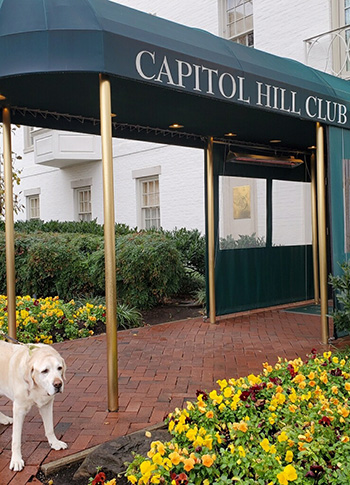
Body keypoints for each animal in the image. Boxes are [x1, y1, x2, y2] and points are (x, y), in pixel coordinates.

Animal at [0, 340, 67, 468]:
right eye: (45, 371)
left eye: (59, 368)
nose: (58, 384)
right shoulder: (19, 409)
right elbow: (16, 440)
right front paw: (16, 460)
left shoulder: (47, 404)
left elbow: (49, 428)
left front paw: (54, 442)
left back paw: (4, 419)